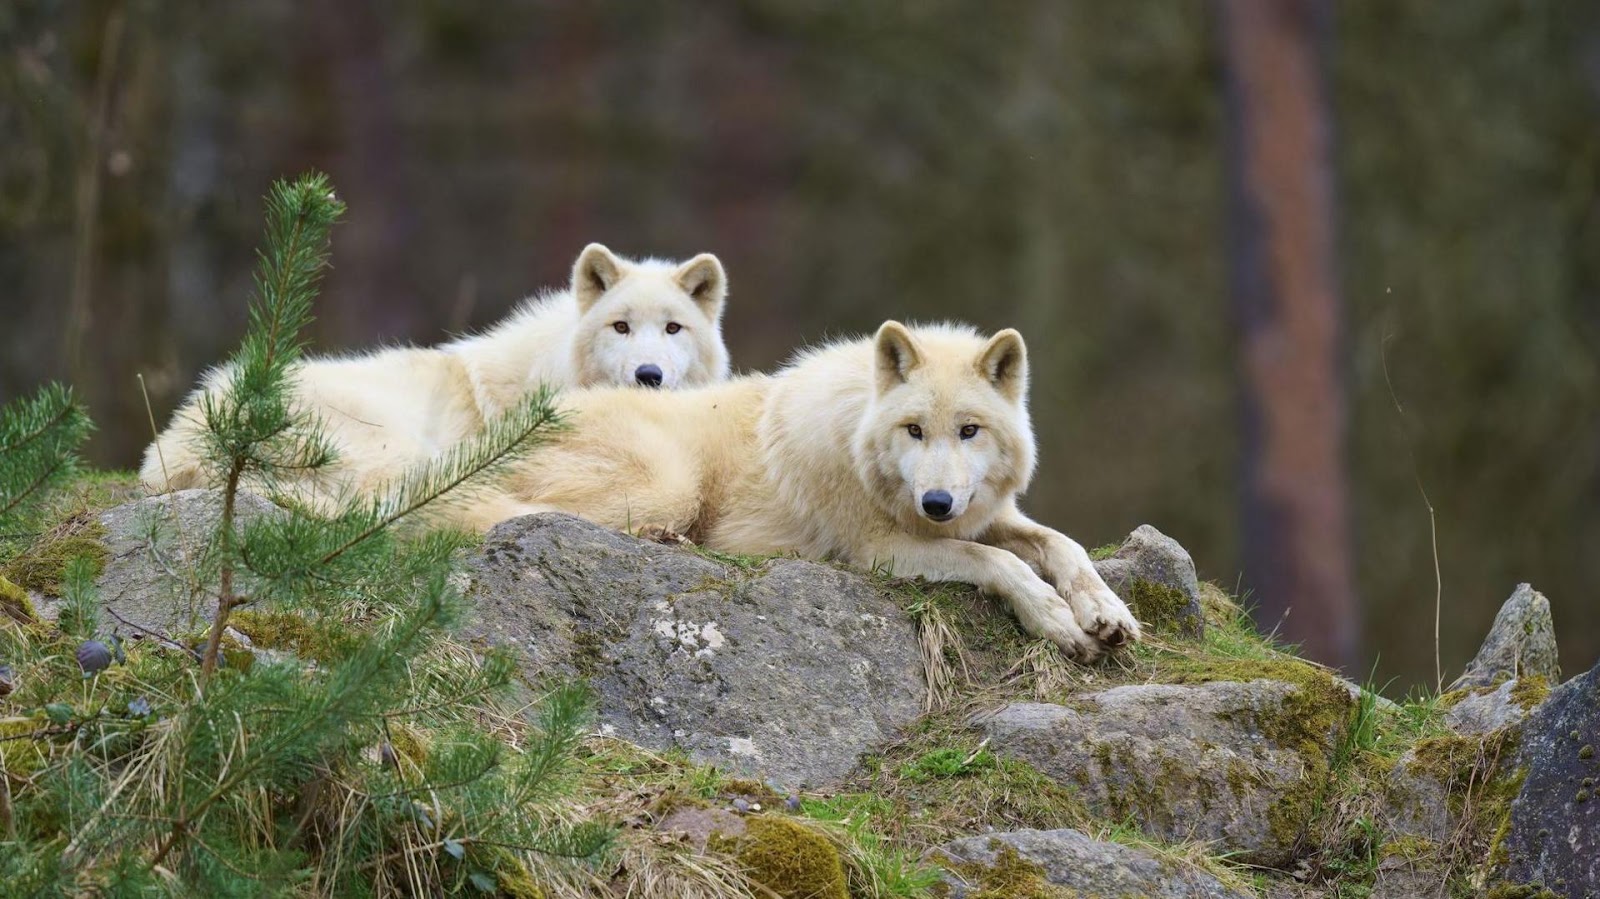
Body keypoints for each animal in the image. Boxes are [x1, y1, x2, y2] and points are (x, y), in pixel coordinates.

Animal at [462, 321, 1142, 660]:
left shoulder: (979, 515)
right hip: (667, 484)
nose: (936, 504)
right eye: (914, 430)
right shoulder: (878, 550)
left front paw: (1106, 611)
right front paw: (1056, 621)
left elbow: (1061, 545)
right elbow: (997, 561)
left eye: (969, 431)